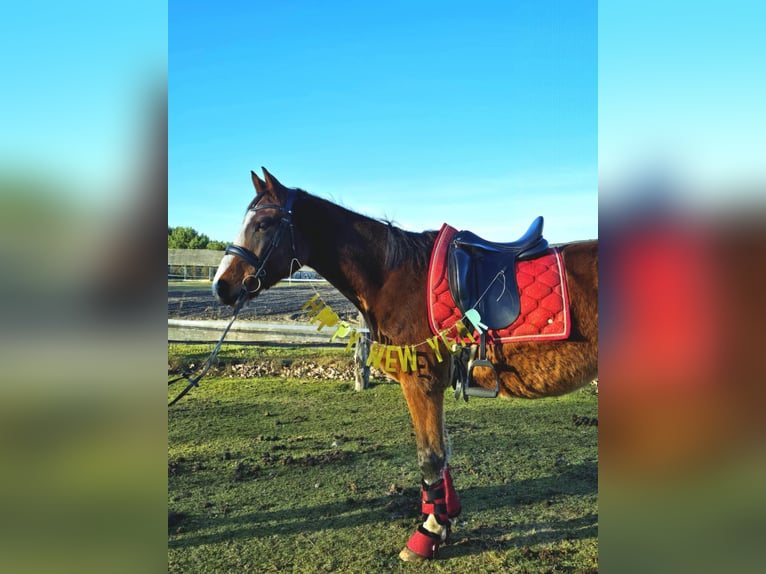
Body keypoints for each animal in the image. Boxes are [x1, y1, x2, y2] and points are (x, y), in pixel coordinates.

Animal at [212, 168, 598, 561]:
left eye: (263, 223)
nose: (221, 286)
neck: (394, 276)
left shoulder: (421, 383)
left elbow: (430, 456)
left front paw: (429, 532)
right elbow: (441, 453)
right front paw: (444, 516)